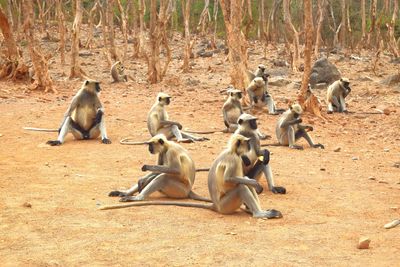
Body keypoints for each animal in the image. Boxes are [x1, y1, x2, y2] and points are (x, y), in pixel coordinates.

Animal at [99, 134, 282, 220]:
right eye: (247, 143)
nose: (150, 148)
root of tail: (216, 206)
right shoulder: (234, 159)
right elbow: (231, 180)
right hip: (221, 204)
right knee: (242, 186)